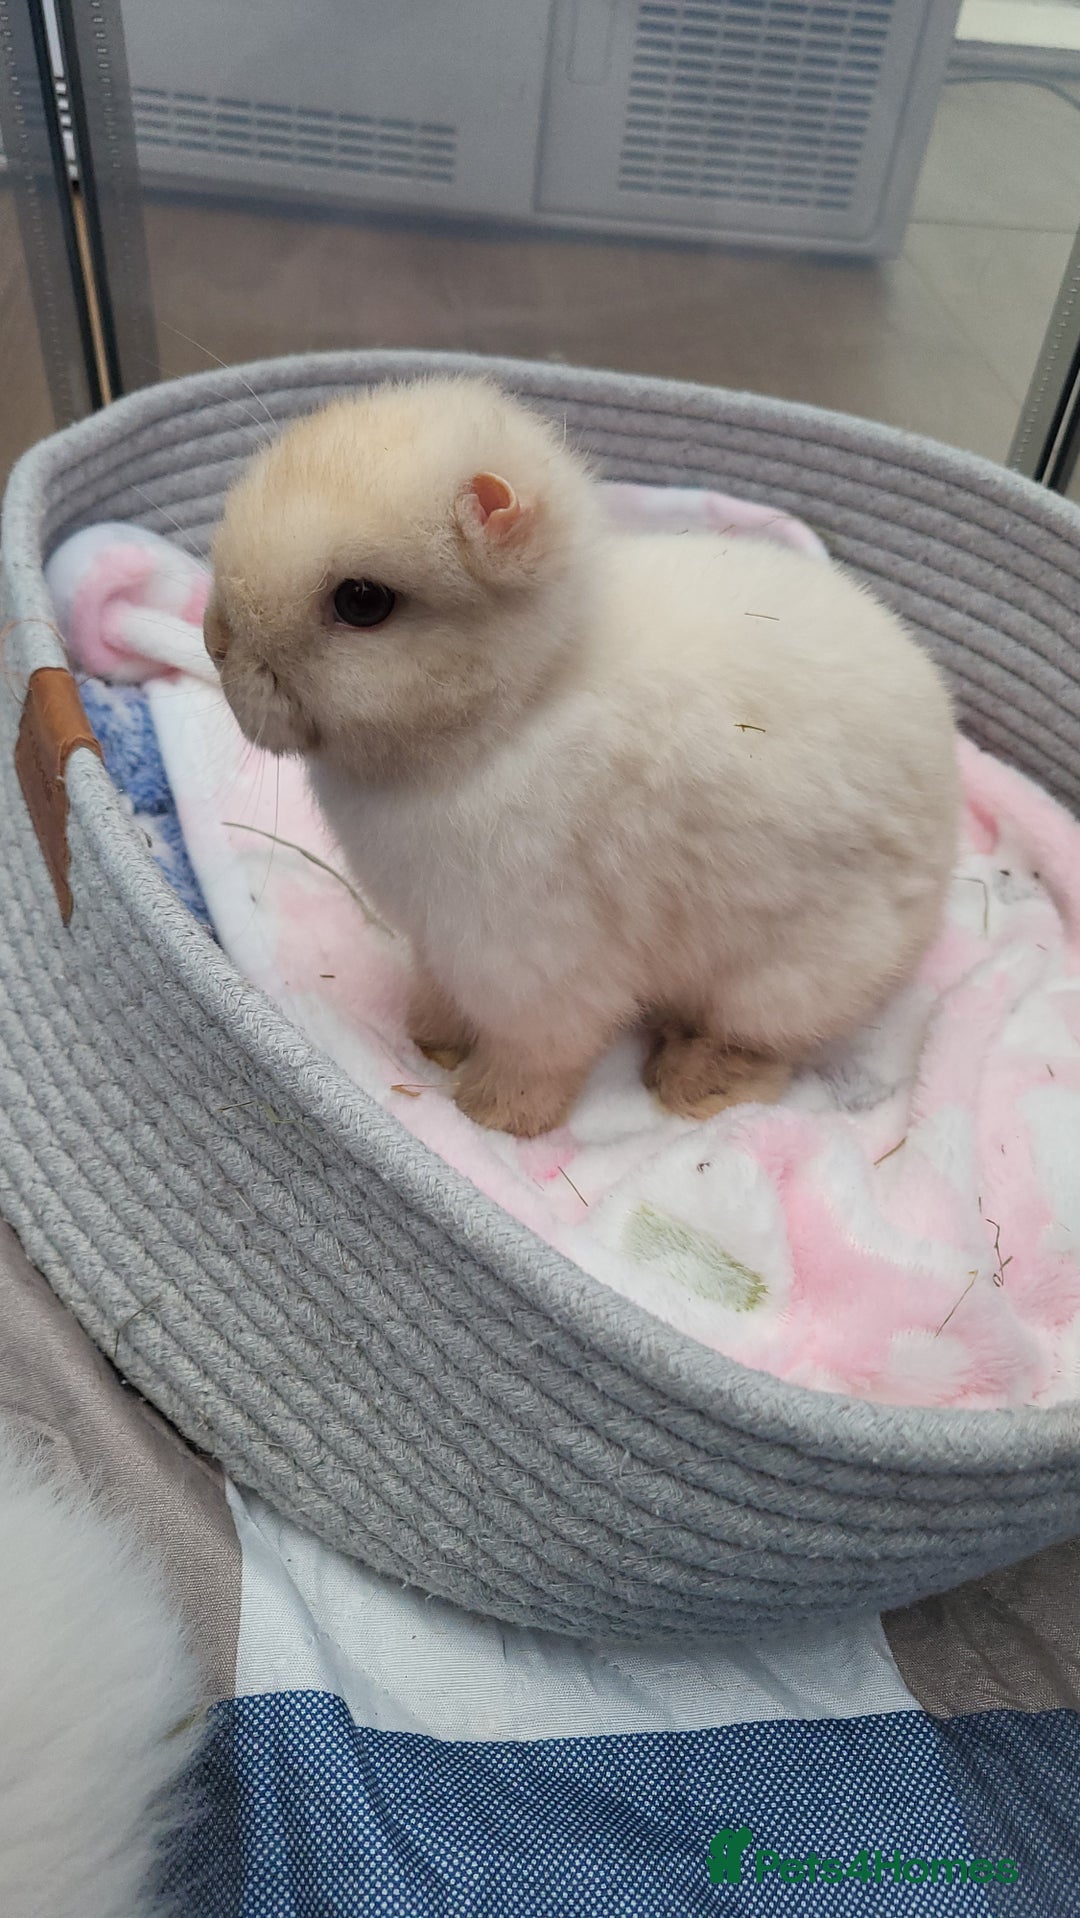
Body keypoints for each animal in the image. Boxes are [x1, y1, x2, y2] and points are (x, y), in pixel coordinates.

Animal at [205, 374, 959, 1139]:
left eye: (362, 601)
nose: (214, 641)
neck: (525, 702)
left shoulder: (532, 964)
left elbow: (540, 1054)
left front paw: (491, 1114)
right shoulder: (439, 947)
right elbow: (441, 996)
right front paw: (431, 1040)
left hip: (783, 979)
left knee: (763, 1047)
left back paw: (686, 1085)